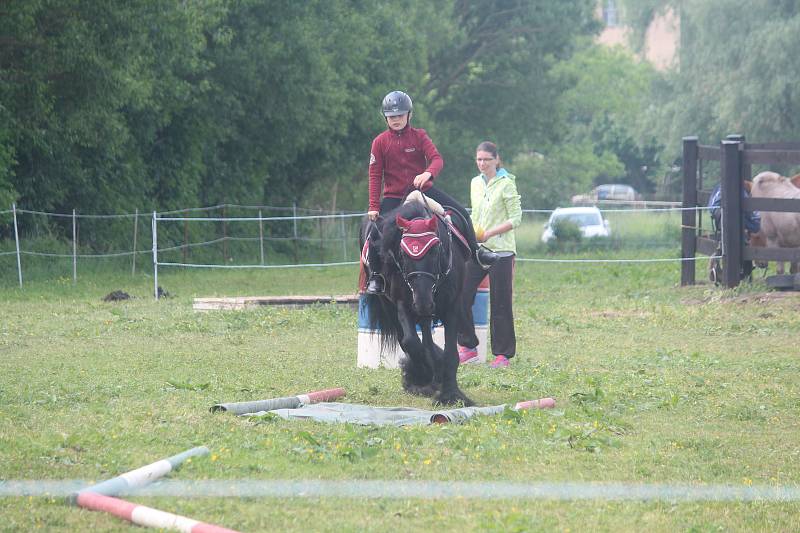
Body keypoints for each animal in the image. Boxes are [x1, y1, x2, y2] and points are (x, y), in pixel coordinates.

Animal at [360, 198, 478, 404]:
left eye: (435, 250)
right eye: (402, 254)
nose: (423, 302)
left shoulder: (451, 307)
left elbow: (451, 353)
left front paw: (451, 394)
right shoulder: (402, 305)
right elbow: (411, 342)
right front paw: (422, 376)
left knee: (427, 334)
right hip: (390, 305)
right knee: (406, 338)